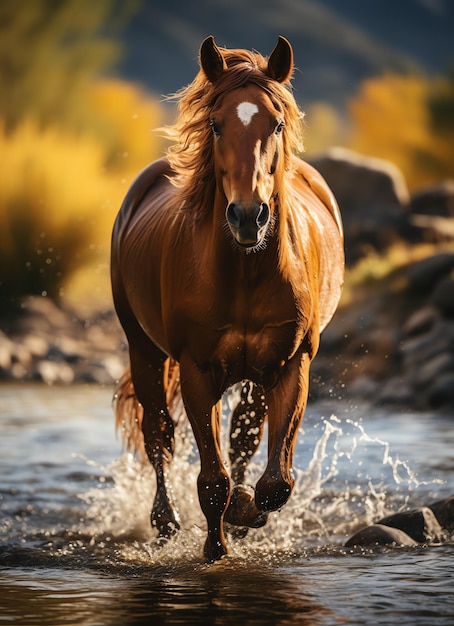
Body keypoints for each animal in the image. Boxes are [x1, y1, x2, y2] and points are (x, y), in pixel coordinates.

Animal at [111, 35, 342, 560]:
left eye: (277, 123)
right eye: (216, 124)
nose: (248, 216)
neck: (245, 273)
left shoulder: (291, 364)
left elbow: (275, 480)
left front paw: (244, 512)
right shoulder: (197, 369)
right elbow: (211, 480)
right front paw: (215, 548)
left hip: (253, 373)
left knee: (242, 438)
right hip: (144, 349)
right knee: (158, 434)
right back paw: (165, 522)